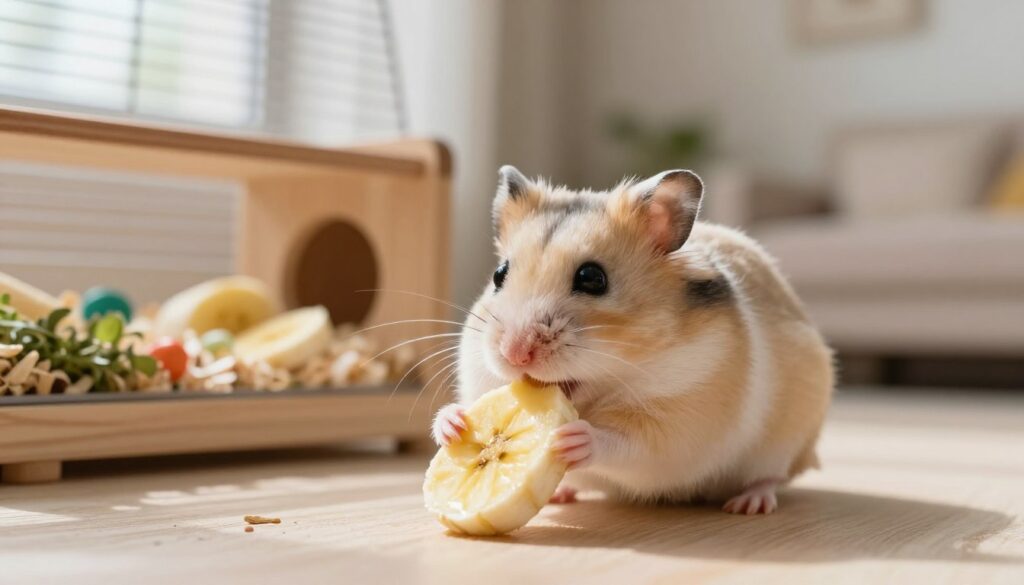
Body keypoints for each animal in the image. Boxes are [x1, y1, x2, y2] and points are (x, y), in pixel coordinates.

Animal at [432, 165, 833, 514]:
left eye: (592, 278)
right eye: (499, 274)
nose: (514, 354)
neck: (604, 386)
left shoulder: (677, 425)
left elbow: (627, 445)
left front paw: (574, 437)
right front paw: (453, 423)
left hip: (786, 440)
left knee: (771, 477)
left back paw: (749, 505)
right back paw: (561, 494)